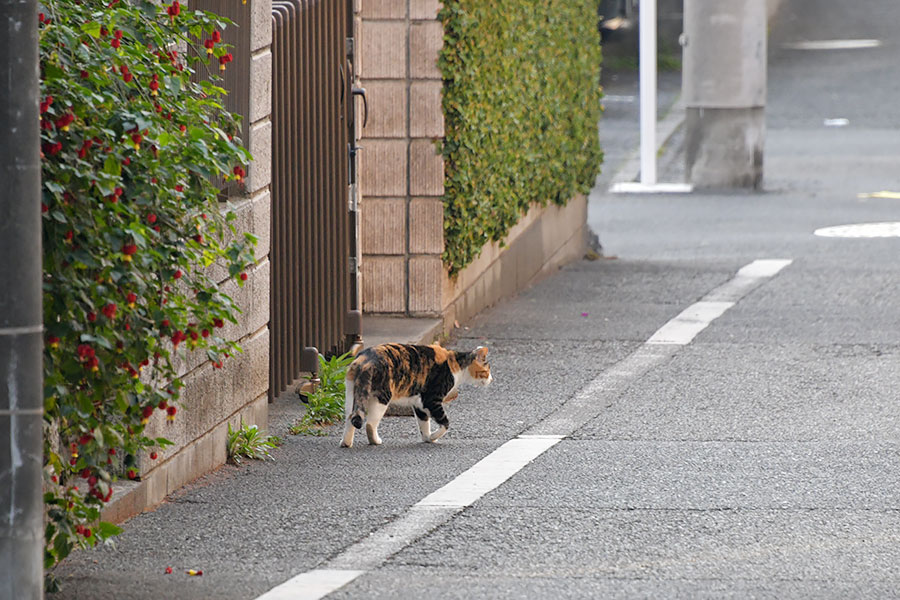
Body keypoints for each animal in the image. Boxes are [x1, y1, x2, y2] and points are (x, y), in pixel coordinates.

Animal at [340, 344, 492, 448]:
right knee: (370, 424)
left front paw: (427, 438)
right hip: (381, 398)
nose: (491, 379)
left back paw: (346, 443)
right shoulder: (432, 400)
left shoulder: (419, 404)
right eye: (487, 371)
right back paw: (375, 441)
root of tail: (365, 359)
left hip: (351, 395)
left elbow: (424, 423)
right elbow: (445, 423)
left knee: (351, 418)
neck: (455, 363)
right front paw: (434, 436)